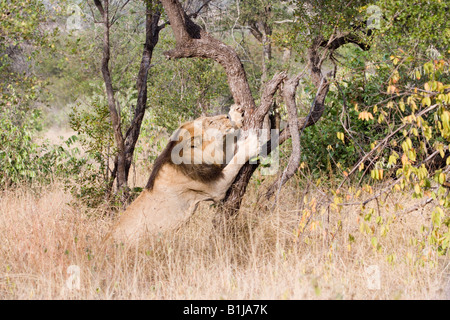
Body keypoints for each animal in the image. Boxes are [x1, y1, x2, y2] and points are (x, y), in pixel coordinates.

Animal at [107, 104, 258, 244]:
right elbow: (235, 160)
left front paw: (236, 114)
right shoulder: (216, 188)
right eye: (210, 122)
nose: (227, 116)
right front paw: (251, 143)